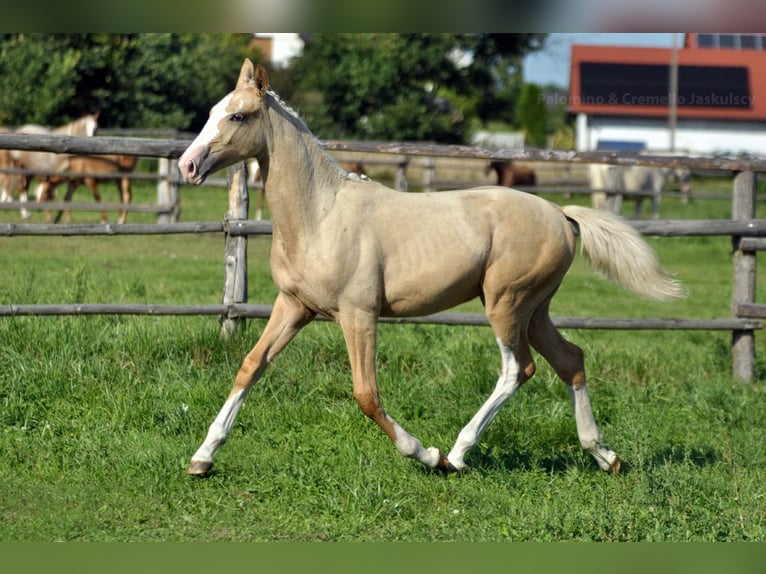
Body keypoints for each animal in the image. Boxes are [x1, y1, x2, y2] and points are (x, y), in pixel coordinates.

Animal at [182, 60, 688, 480]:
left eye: (238, 117)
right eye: (212, 111)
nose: (188, 165)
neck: (320, 214)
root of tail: (561, 215)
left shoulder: (358, 315)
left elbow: (366, 394)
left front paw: (426, 454)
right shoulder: (293, 307)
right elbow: (250, 366)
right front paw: (202, 458)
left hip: (506, 305)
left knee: (517, 369)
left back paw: (458, 455)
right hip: (534, 310)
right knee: (571, 361)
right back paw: (605, 456)